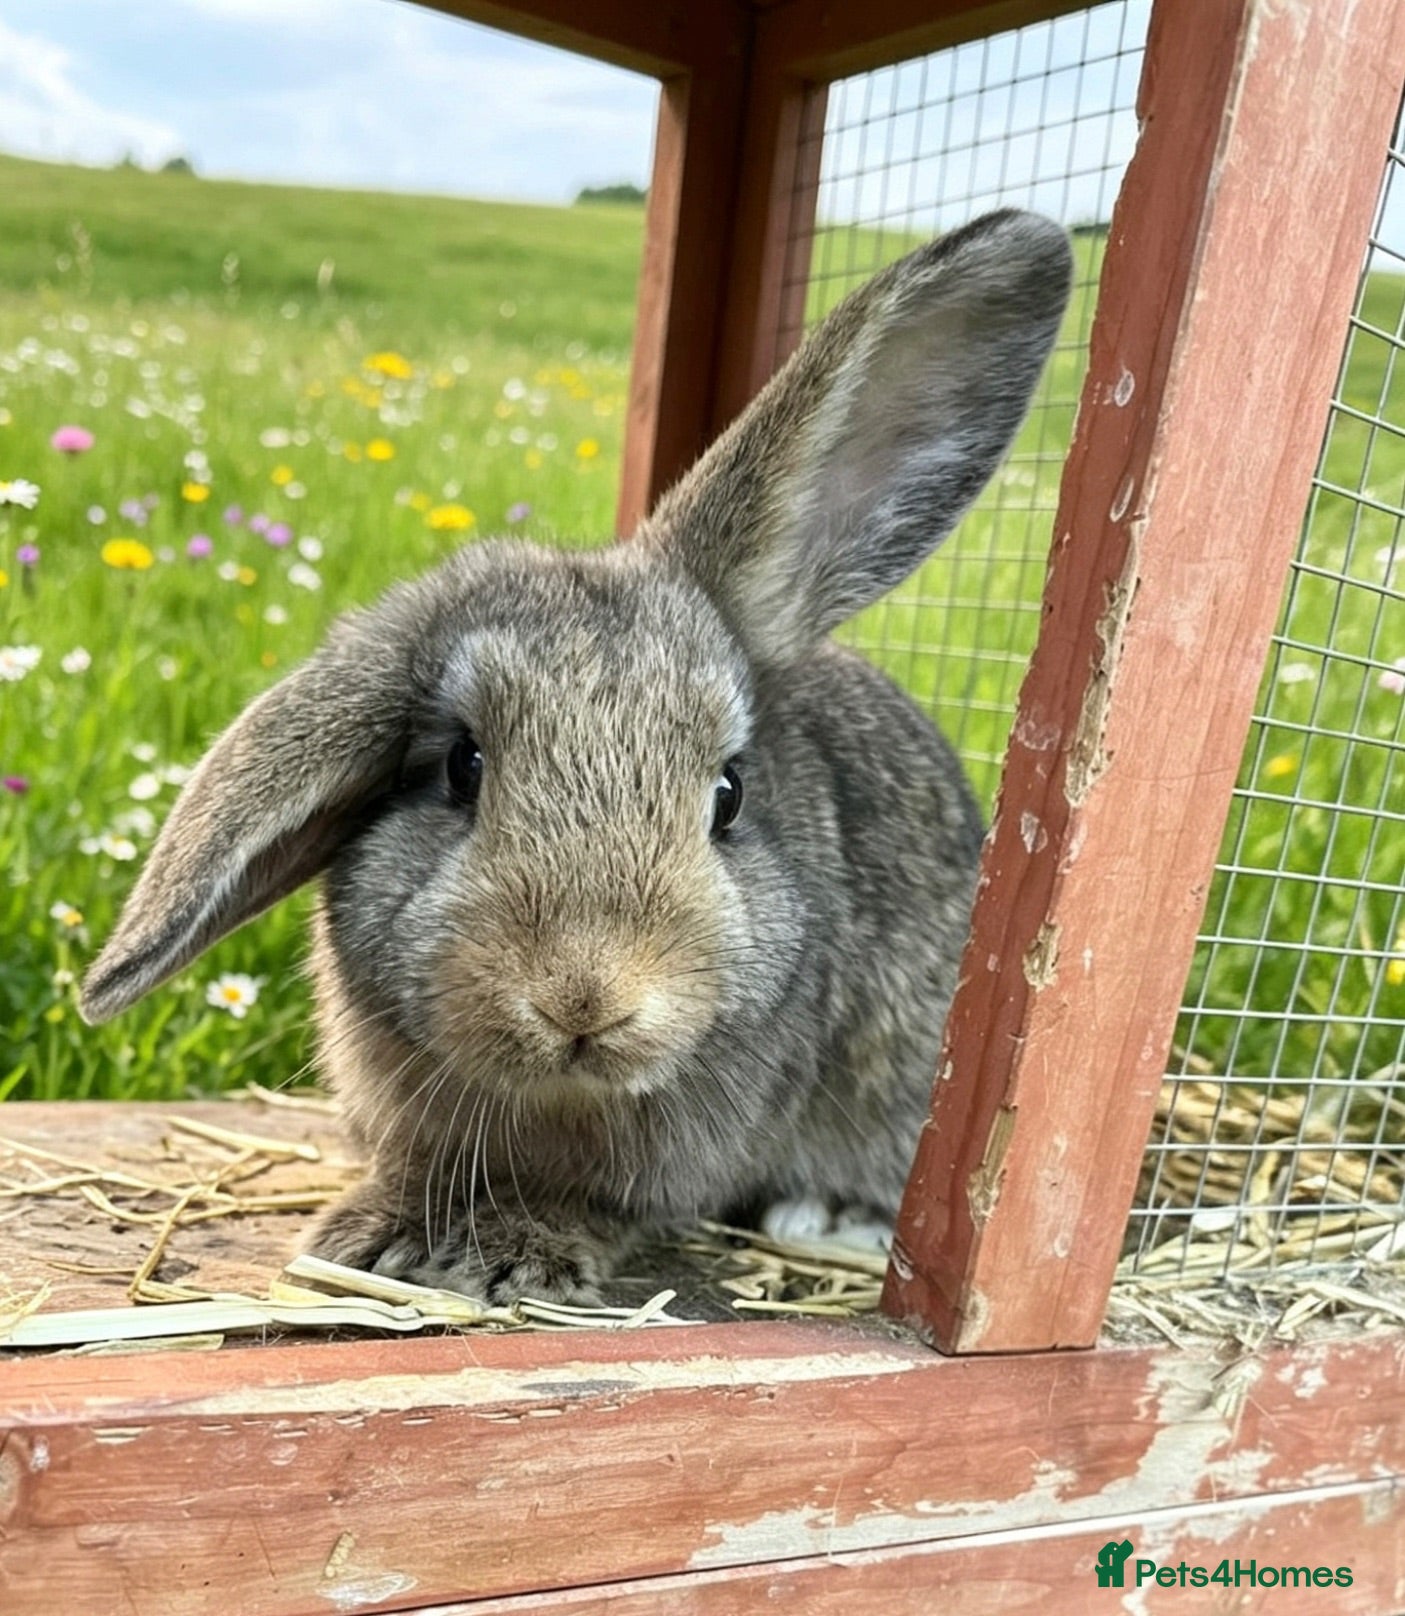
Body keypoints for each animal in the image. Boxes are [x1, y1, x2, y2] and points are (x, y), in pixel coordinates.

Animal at [80, 210, 1072, 1304]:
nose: (584, 998)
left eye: (729, 794)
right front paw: (373, 1234)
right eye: (461, 767)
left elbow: (603, 1206)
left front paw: (519, 1249)